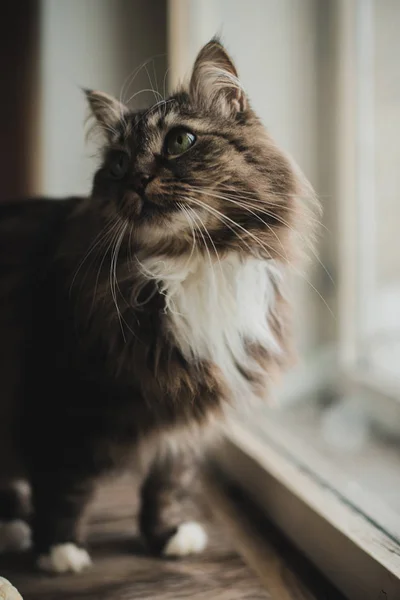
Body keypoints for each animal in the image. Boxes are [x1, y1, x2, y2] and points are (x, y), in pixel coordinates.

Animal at [0, 39, 312, 576]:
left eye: (181, 141)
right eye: (118, 163)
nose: (138, 180)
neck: (190, 262)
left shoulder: (187, 411)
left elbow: (169, 483)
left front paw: (167, 536)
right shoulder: (59, 393)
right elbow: (65, 486)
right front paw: (59, 550)